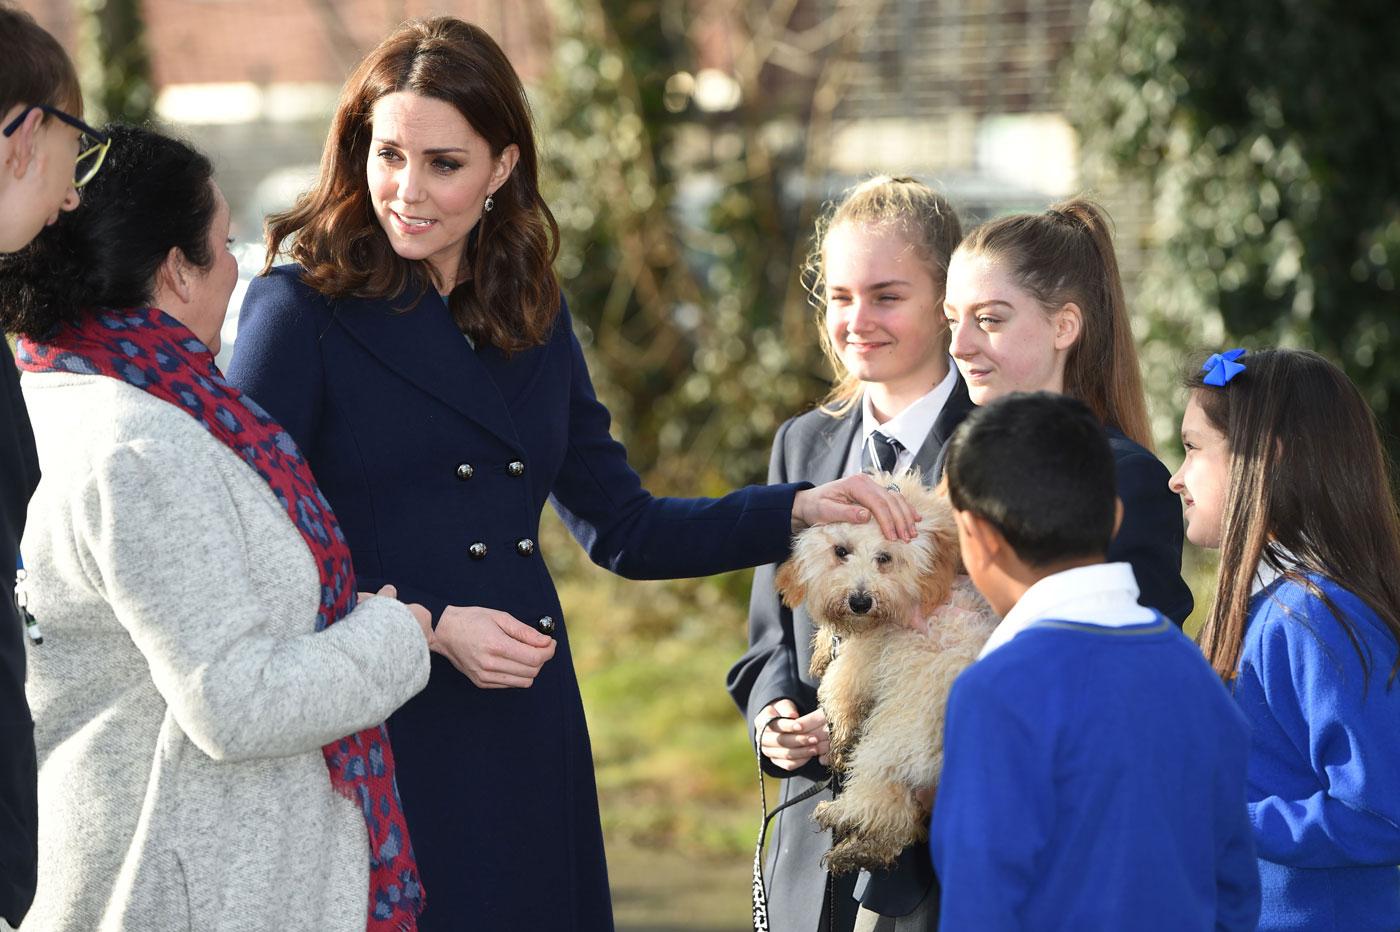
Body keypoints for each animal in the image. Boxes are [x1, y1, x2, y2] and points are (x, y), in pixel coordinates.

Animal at [778, 467, 996, 873]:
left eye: (885, 557)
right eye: (841, 551)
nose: (860, 601)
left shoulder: (872, 652)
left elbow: (840, 685)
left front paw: (838, 729)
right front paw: (822, 648)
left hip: (892, 740)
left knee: (882, 806)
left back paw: (840, 816)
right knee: (895, 821)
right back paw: (855, 849)